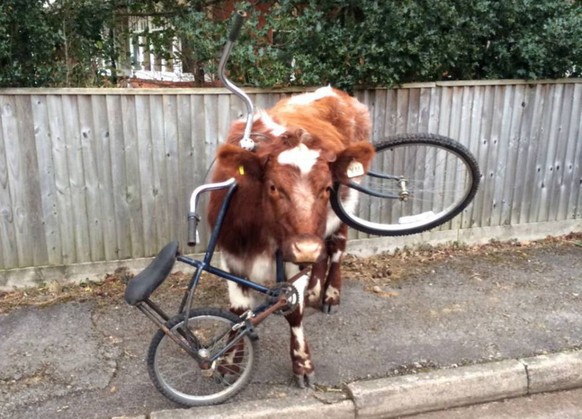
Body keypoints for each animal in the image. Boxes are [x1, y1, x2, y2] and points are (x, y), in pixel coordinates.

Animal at [208, 87, 376, 388]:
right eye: (273, 187)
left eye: (327, 188)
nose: (305, 248)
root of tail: (333, 91)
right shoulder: (230, 253)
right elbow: (238, 311)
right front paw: (229, 362)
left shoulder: (291, 259)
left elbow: (294, 312)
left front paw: (303, 364)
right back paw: (314, 291)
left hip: (344, 209)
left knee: (336, 248)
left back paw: (330, 294)